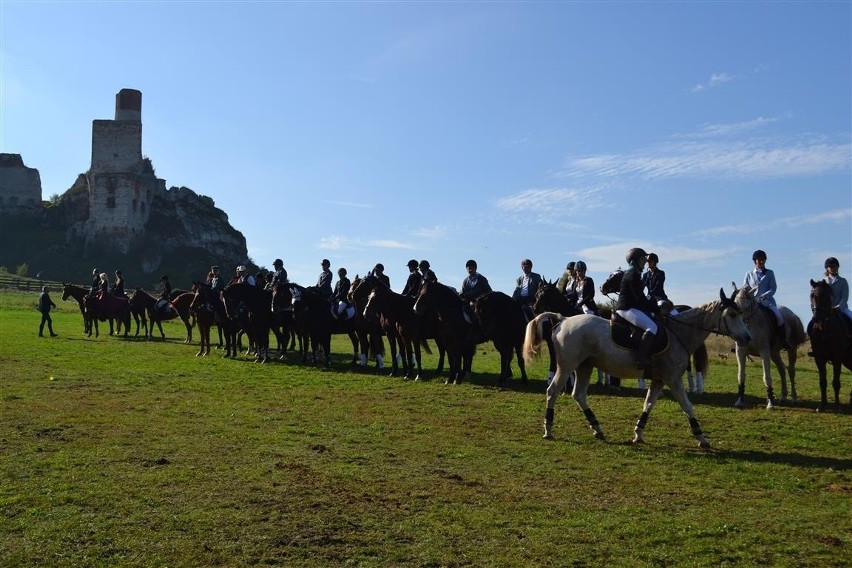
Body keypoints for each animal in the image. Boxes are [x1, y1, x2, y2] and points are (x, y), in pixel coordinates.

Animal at [524, 288, 752, 448]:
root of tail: (563, 319)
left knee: (578, 394)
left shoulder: (659, 380)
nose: (748, 338)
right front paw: (702, 438)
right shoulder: (672, 379)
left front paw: (638, 434)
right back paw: (548, 429)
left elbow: (648, 405)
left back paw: (597, 429)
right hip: (567, 367)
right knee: (553, 391)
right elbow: (688, 406)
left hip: (584, 367)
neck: (679, 333)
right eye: (732, 314)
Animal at [808, 278, 848, 408]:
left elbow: (836, 382)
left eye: (825, 296)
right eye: (812, 295)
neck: (824, 329)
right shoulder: (819, 358)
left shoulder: (837, 358)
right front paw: (823, 405)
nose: (816, 319)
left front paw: (837, 405)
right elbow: (823, 382)